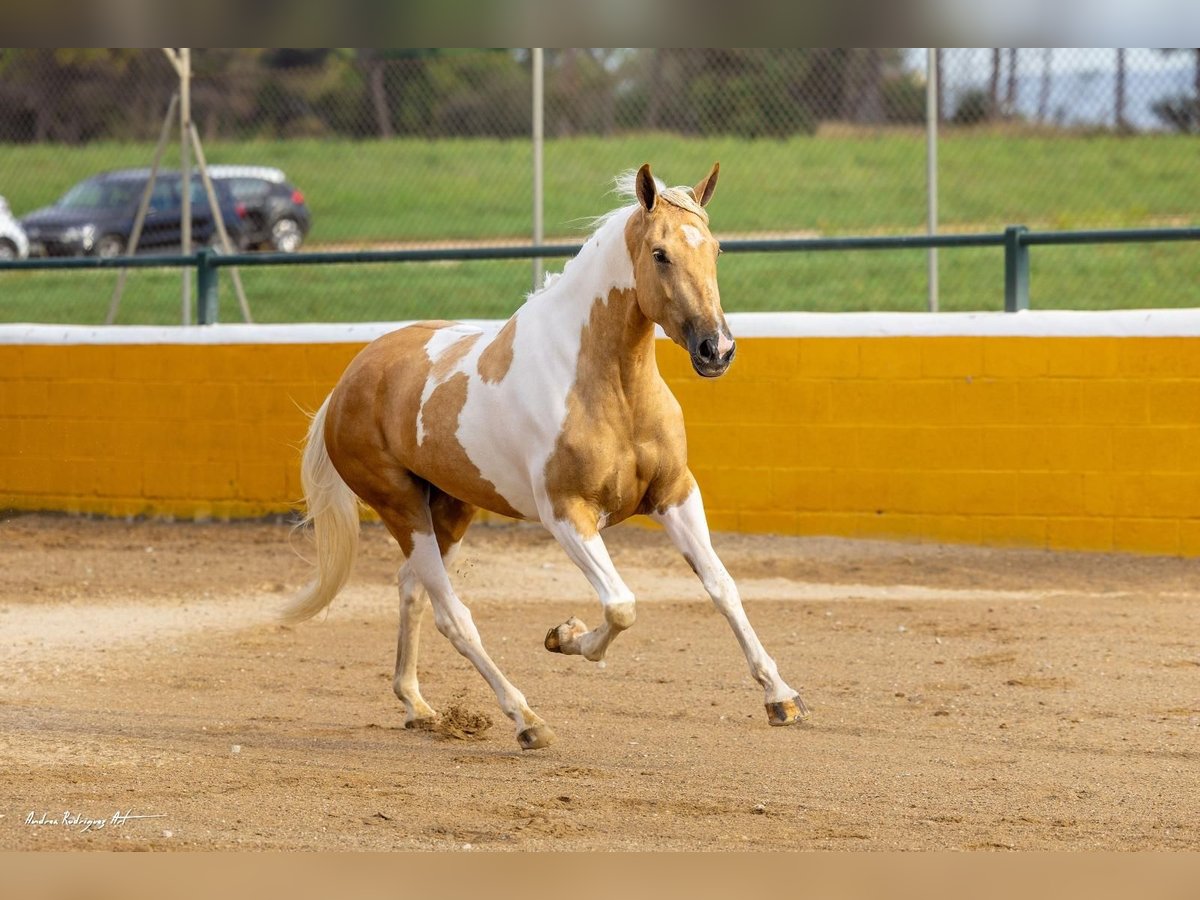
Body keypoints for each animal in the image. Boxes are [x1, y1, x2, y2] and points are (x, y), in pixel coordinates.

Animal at [280, 164, 806, 753]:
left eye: (715, 248)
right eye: (660, 254)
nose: (716, 350)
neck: (610, 387)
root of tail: (348, 383)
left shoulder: (674, 495)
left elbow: (722, 587)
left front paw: (781, 697)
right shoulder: (567, 515)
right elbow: (621, 605)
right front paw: (564, 636)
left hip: (450, 509)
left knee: (412, 590)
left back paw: (418, 706)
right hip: (401, 508)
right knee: (453, 615)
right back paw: (526, 719)